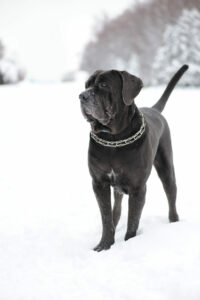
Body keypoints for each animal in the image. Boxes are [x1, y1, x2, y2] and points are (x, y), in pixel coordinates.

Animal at [79, 65, 188, 251]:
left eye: (104, 84)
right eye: (87, 84)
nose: (82, 96)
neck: (113, 139)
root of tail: (153, 109)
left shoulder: (138, 187)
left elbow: (133, 221)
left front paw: (129, 243)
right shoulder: (99, 183)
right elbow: (106, 216)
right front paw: (104, 245)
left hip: (167, 169)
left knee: (171, 196)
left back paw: (174, 222)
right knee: (116, 209)